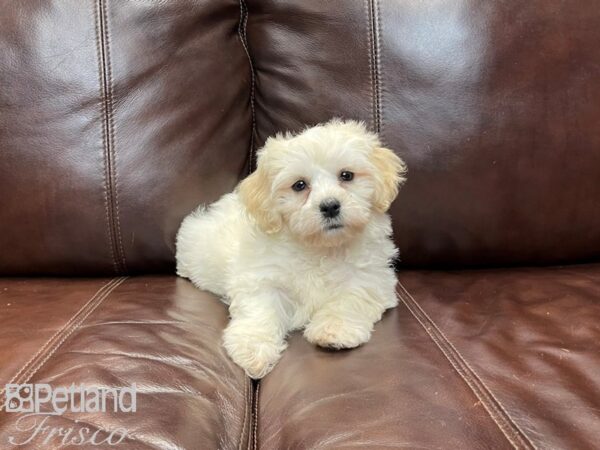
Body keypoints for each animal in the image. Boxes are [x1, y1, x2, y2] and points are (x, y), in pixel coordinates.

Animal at [176, 119, 406, 380]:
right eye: (299, 185)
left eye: (346, 175)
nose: (330, 206)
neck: (319, 248)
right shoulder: (261, 277)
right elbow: (260, 311)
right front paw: (253, 349)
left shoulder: (370, 278)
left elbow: (349, 300)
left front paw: (334, 331)